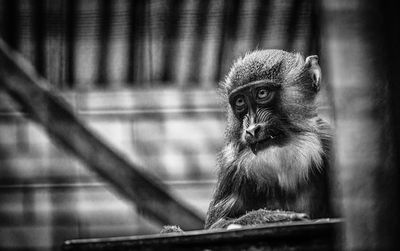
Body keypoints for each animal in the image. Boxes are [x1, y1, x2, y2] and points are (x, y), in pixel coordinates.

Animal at [203, 49, 332, 229]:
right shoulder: (230, 164)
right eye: (240, 101)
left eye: (262, 93)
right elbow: (217, 225)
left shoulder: (328, 139)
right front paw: (274, 217)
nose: (251, 130)